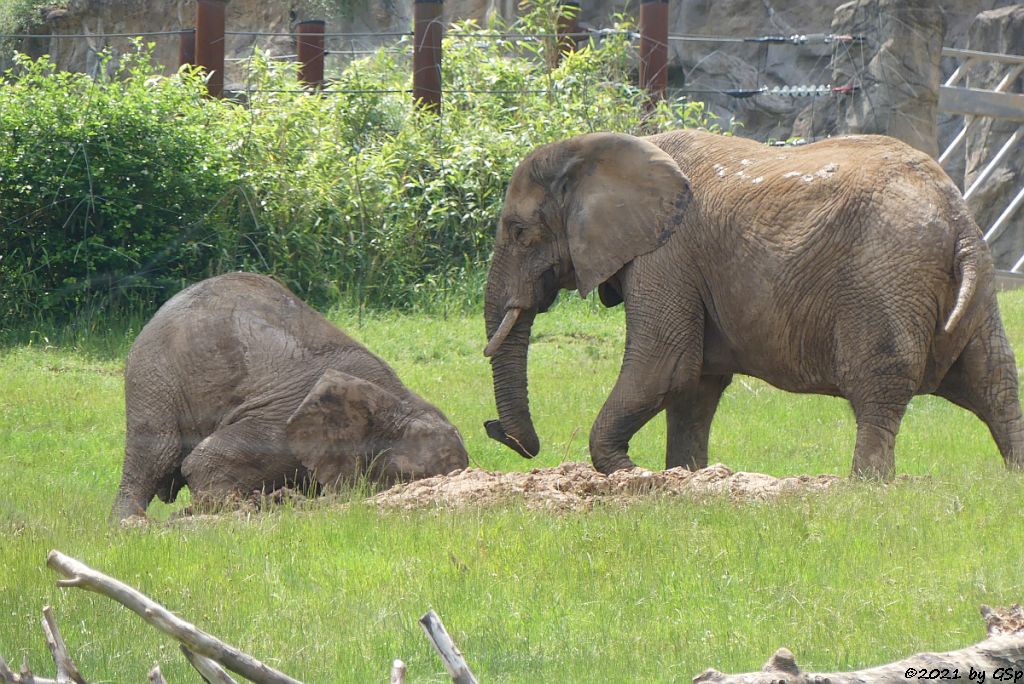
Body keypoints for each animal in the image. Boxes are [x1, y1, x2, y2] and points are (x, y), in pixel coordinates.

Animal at [481, 131, 1024, 479]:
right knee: (995, 381)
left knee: (880, 384)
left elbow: (666, 364)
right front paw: (684, 476)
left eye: (519, 231)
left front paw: (630, 475)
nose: (495, 430)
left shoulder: (668, 255)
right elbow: (696, 384)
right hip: (970, 288)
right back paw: (1013, 481)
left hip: (885, 278)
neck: (595, 148)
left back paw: (864, 489)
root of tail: (956, 212)